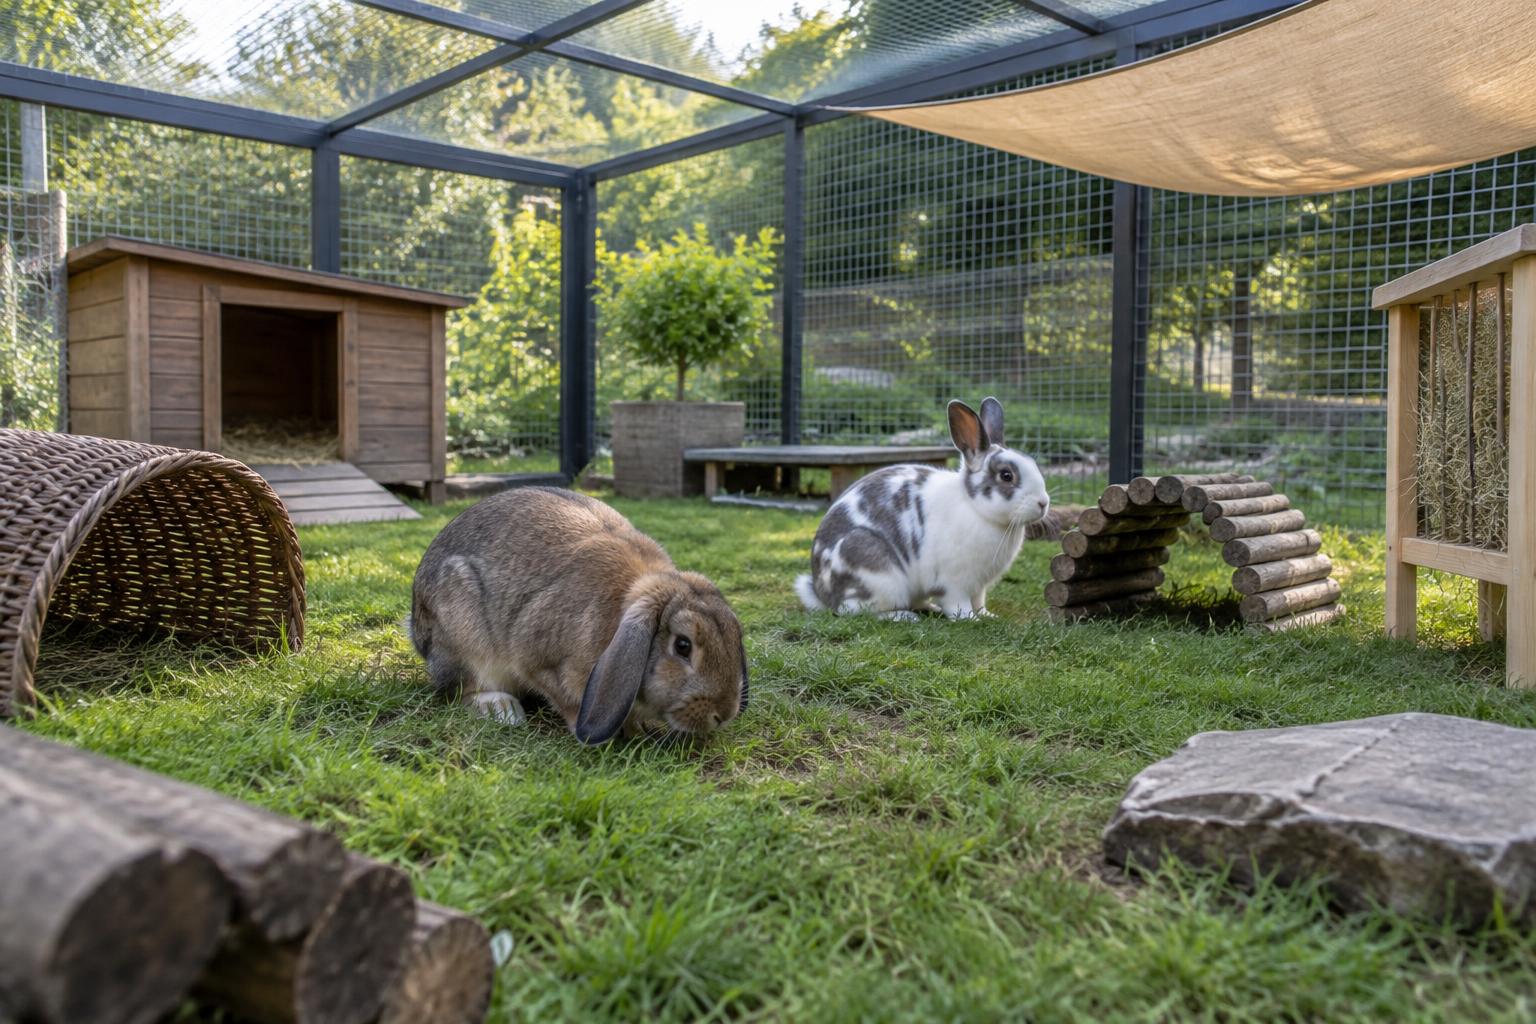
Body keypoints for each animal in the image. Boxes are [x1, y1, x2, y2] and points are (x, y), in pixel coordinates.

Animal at [409, 487, 747, 744]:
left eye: (735, 635)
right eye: (682, 646)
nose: (723, 714)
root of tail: (417, 632)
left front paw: (636, 729)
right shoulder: (536, 661)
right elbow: (564, 699)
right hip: (464, 640)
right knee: (461, 689)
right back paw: (501, 709)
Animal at [795, 397, 1049, 621]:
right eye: (1006, 475)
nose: (1043, 503)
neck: (975, 508)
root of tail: (822, 593)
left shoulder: (979, 586)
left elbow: (979, 601)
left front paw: (988, 616)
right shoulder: (954, 583)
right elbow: (959, 604)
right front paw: (970, 619)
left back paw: (929, 608)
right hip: (876, 573)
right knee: (855, 610)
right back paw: (903, 616)